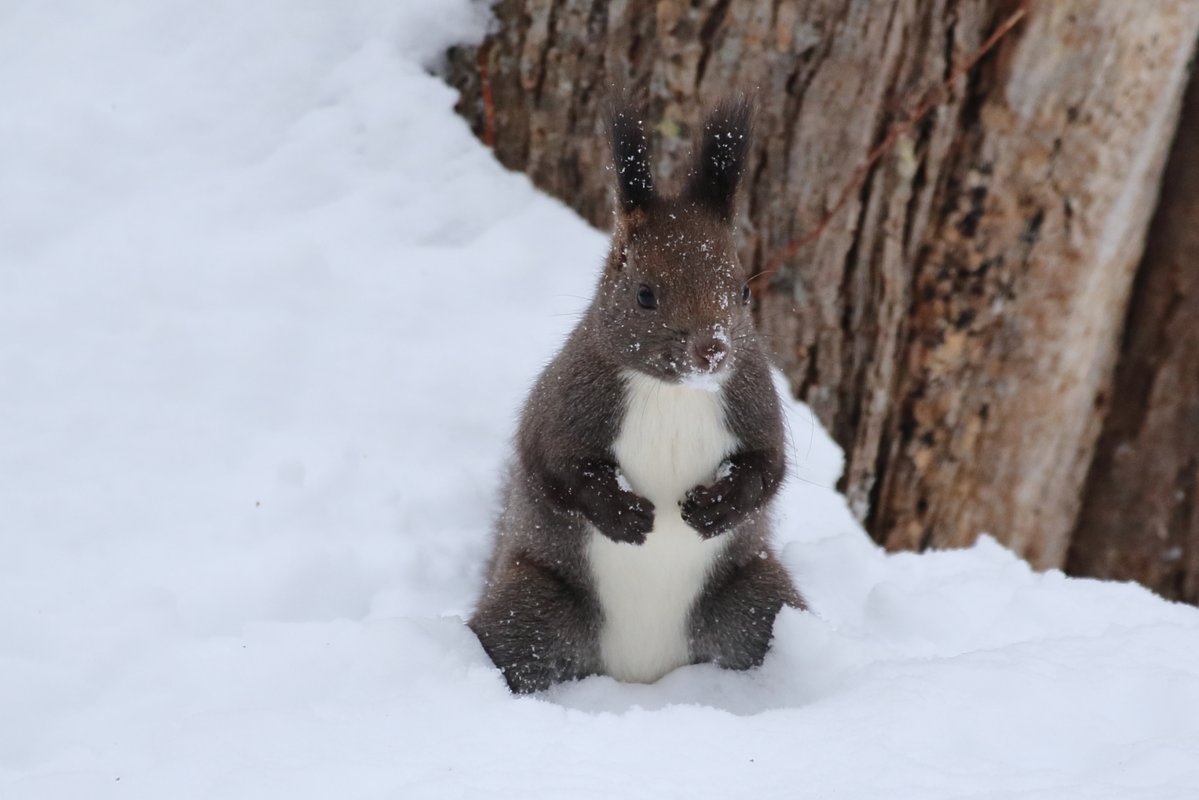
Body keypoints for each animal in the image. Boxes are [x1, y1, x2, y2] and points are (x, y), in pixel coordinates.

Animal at [469, 97, 802, 693]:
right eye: (645, 294)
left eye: (743, 291)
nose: (712, 350)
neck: (674, 393)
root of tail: (640, 674)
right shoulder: (567, 398)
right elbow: (553, 466)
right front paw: (623, 513)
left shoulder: (752, 398)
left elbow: (769, 467)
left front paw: (716, 507)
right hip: (529, 607)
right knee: (512, 645)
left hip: (755, 598)